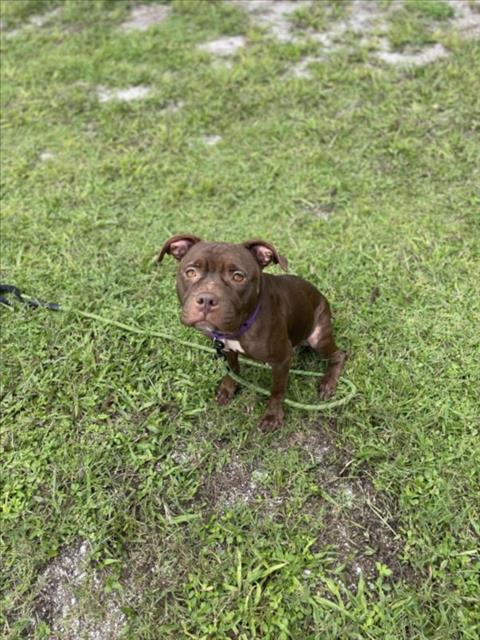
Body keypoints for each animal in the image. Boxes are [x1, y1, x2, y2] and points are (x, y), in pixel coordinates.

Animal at [156, 238, 346, 432]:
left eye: (238, 277)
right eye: (191, 272)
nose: (207, 299)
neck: (238, 327)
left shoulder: (282, 360)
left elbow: (277, 391)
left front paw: (272, 416)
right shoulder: (227, 349)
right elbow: (232, 370)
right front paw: (228, 389)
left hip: (318, 337)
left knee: (339, 355)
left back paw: (328, 384)